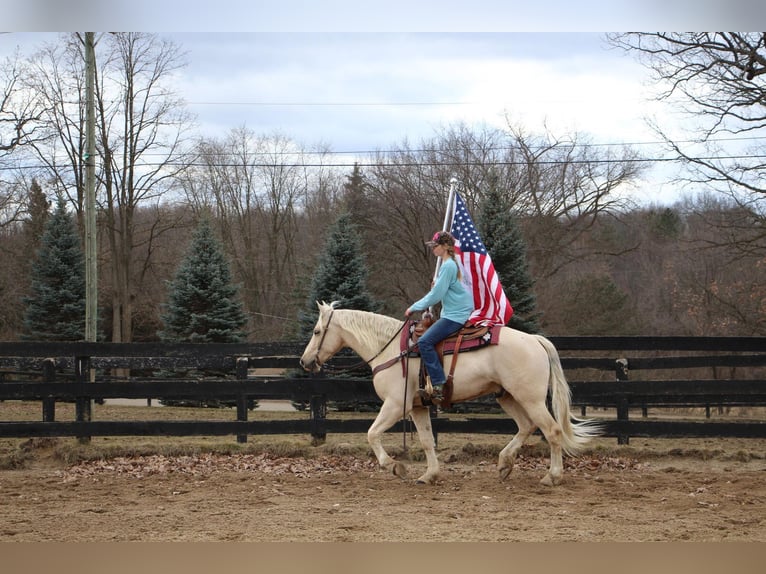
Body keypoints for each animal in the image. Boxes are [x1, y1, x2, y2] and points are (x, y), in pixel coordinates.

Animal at [296, 302, 604, 486]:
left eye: (317, 331)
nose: (305, 361)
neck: (392, 348)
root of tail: (536, 340)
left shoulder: (395, 405)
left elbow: (372, 434)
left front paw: (394, 466)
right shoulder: (417, 407)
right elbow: (426, 441)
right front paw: (429, 475)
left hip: (531, 399)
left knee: (552, 431)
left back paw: (552, 476)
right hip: (507, 396)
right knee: (526, 426)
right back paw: (504, 463)